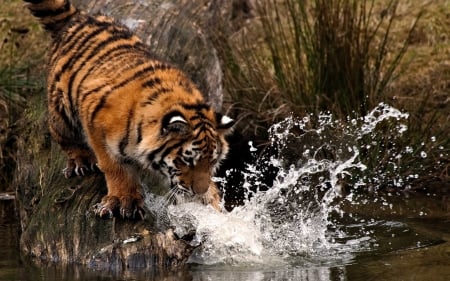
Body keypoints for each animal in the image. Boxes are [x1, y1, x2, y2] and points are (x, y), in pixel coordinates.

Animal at [23, 0, 236, 219]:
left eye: (212, 161)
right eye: (187, 161)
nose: (199, 191)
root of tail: (80, 16)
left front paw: (213, 202)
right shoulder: (96, 124)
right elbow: (115, 167)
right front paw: (124, 201)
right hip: (62, 112)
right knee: (61, 135)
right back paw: (80, 162)